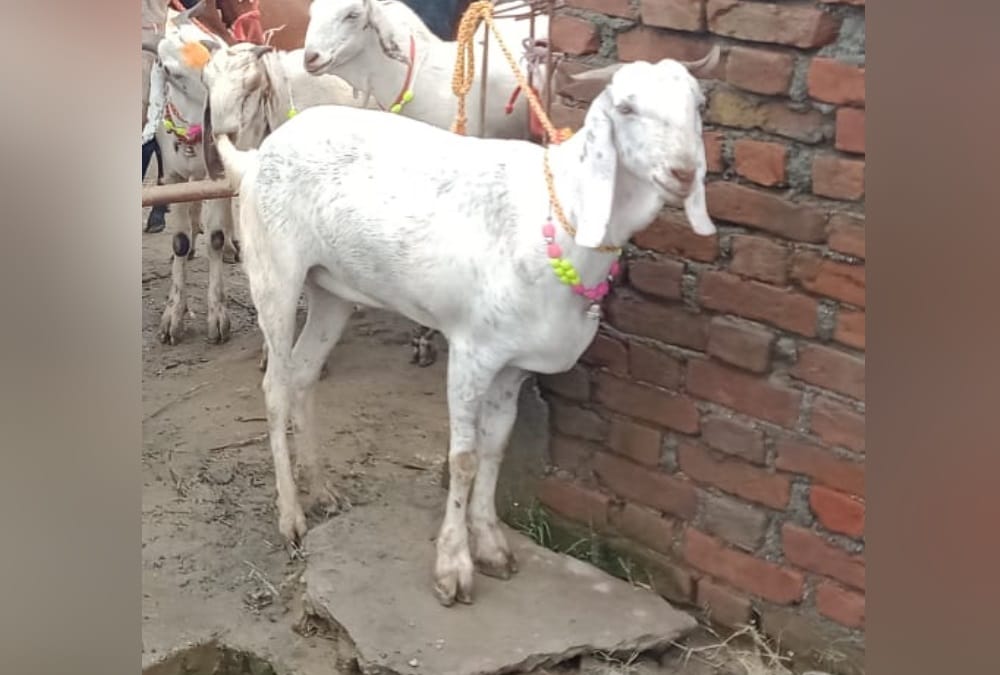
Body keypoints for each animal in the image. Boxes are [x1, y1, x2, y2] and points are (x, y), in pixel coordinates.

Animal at [205, 49, 719, 606]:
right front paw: (453, 566)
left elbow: (495, 447)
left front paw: (491, 544)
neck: (560, 215)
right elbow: (464, 457)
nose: (684, 172)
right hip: (275, 273)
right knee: (275, 387)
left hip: (332, 291)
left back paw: (321, 490)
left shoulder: (514, 364)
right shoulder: (472, 349)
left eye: (699, 104)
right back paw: (291, 516)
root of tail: (256, 158)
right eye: (626, 107)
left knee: (302, 375)